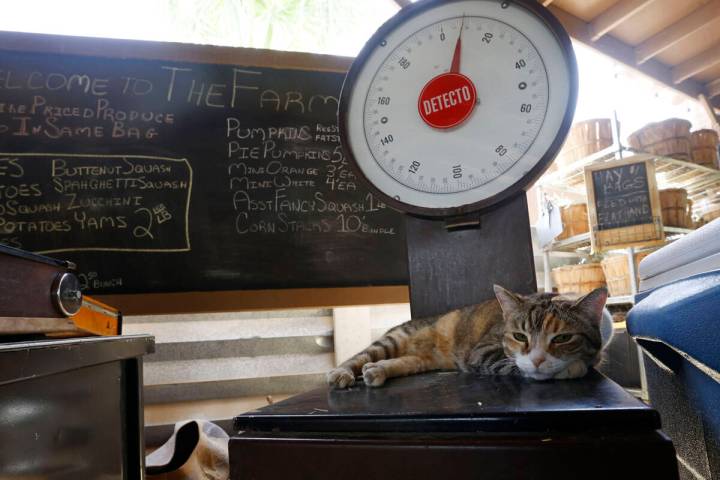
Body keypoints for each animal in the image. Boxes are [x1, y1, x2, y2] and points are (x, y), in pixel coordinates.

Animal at [328, 284, 612, 388]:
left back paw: (376, 370)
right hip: (393, 339)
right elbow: (514, 365)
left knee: (398, 362)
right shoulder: (483, 351)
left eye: (562, 338)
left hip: (419, 361)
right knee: (360, 356)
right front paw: (570, 368)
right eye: (520, 336)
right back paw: (342, 373)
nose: (538, 359)